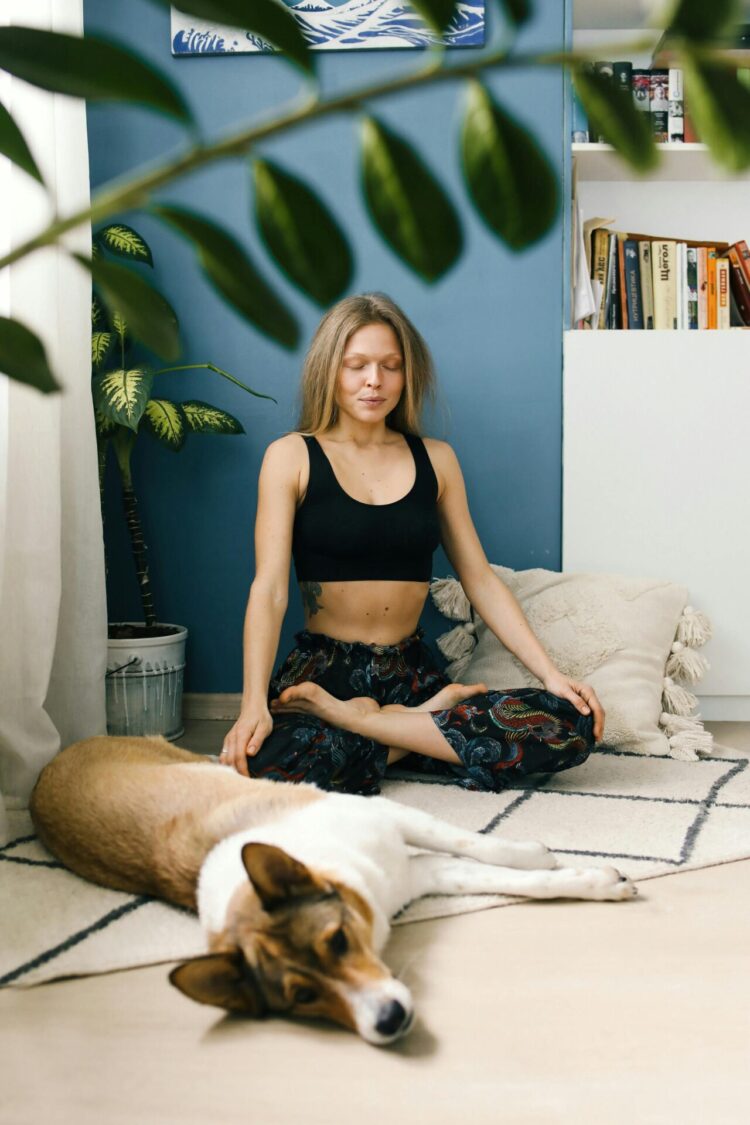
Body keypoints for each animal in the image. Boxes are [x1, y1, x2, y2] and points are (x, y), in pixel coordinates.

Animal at [30, 738, 638, 1044]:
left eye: (339, 942)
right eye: (303, 998)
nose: (388, 1023)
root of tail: (50, 763)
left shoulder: (392, 815)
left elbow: (479, 846)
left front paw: (542, 854)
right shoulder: (410, 877)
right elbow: (492, 875)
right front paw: (591, 880)